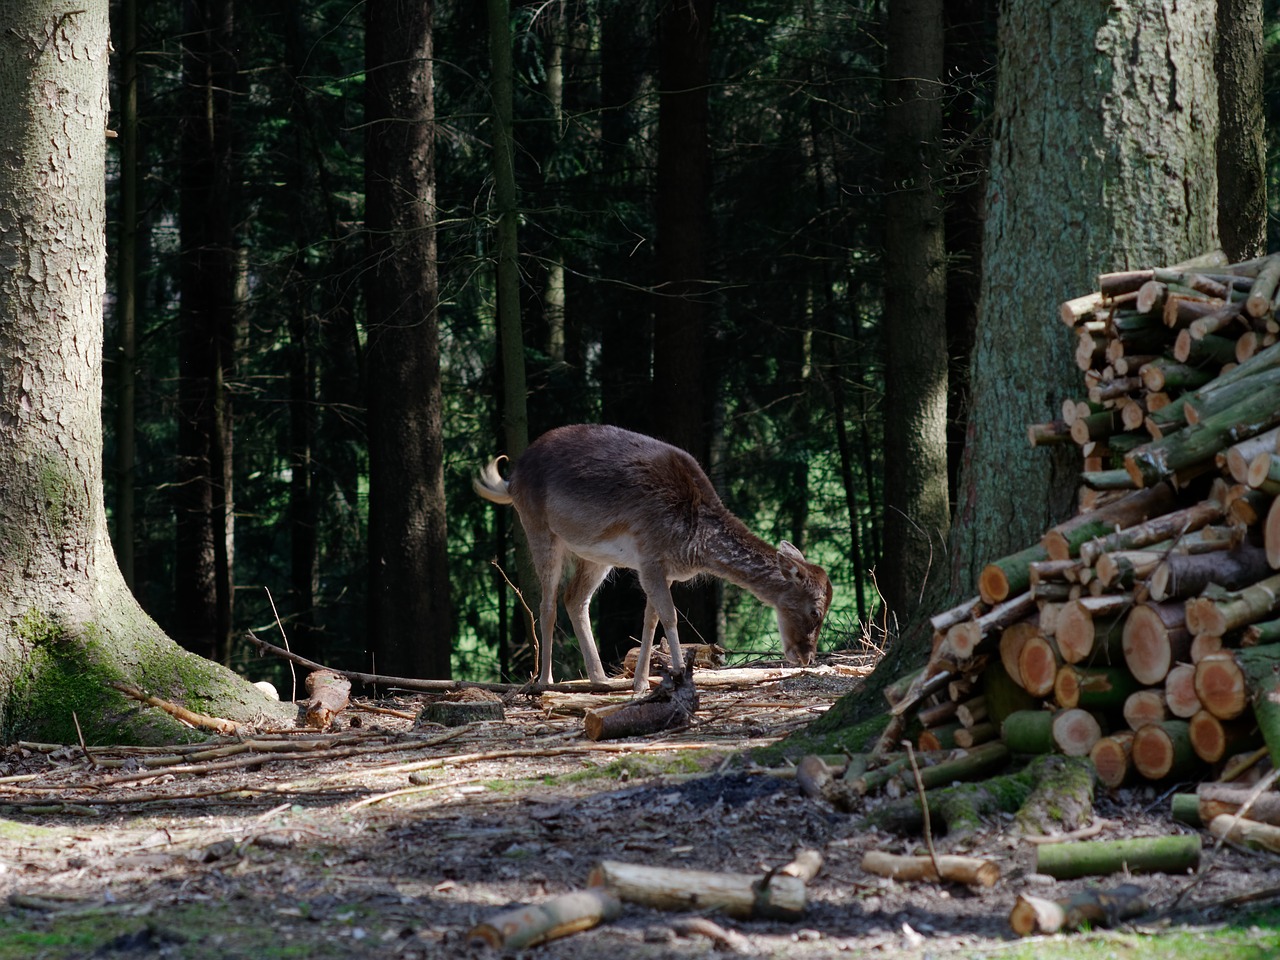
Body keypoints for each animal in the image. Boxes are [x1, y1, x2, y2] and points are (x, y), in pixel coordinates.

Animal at [476, 424, 834, 696]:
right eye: (815, 612)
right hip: (537, 526)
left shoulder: (662, 569)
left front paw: (641, 683)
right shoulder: (650, 555)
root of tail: (511, 477)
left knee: (574, 598)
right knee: (547, 603)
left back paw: (599, 678)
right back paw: (546, 682)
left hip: (595, 554)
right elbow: (671, 617)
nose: (805, 657)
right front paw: (679, 676)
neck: (694, 541)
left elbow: (651, 619)